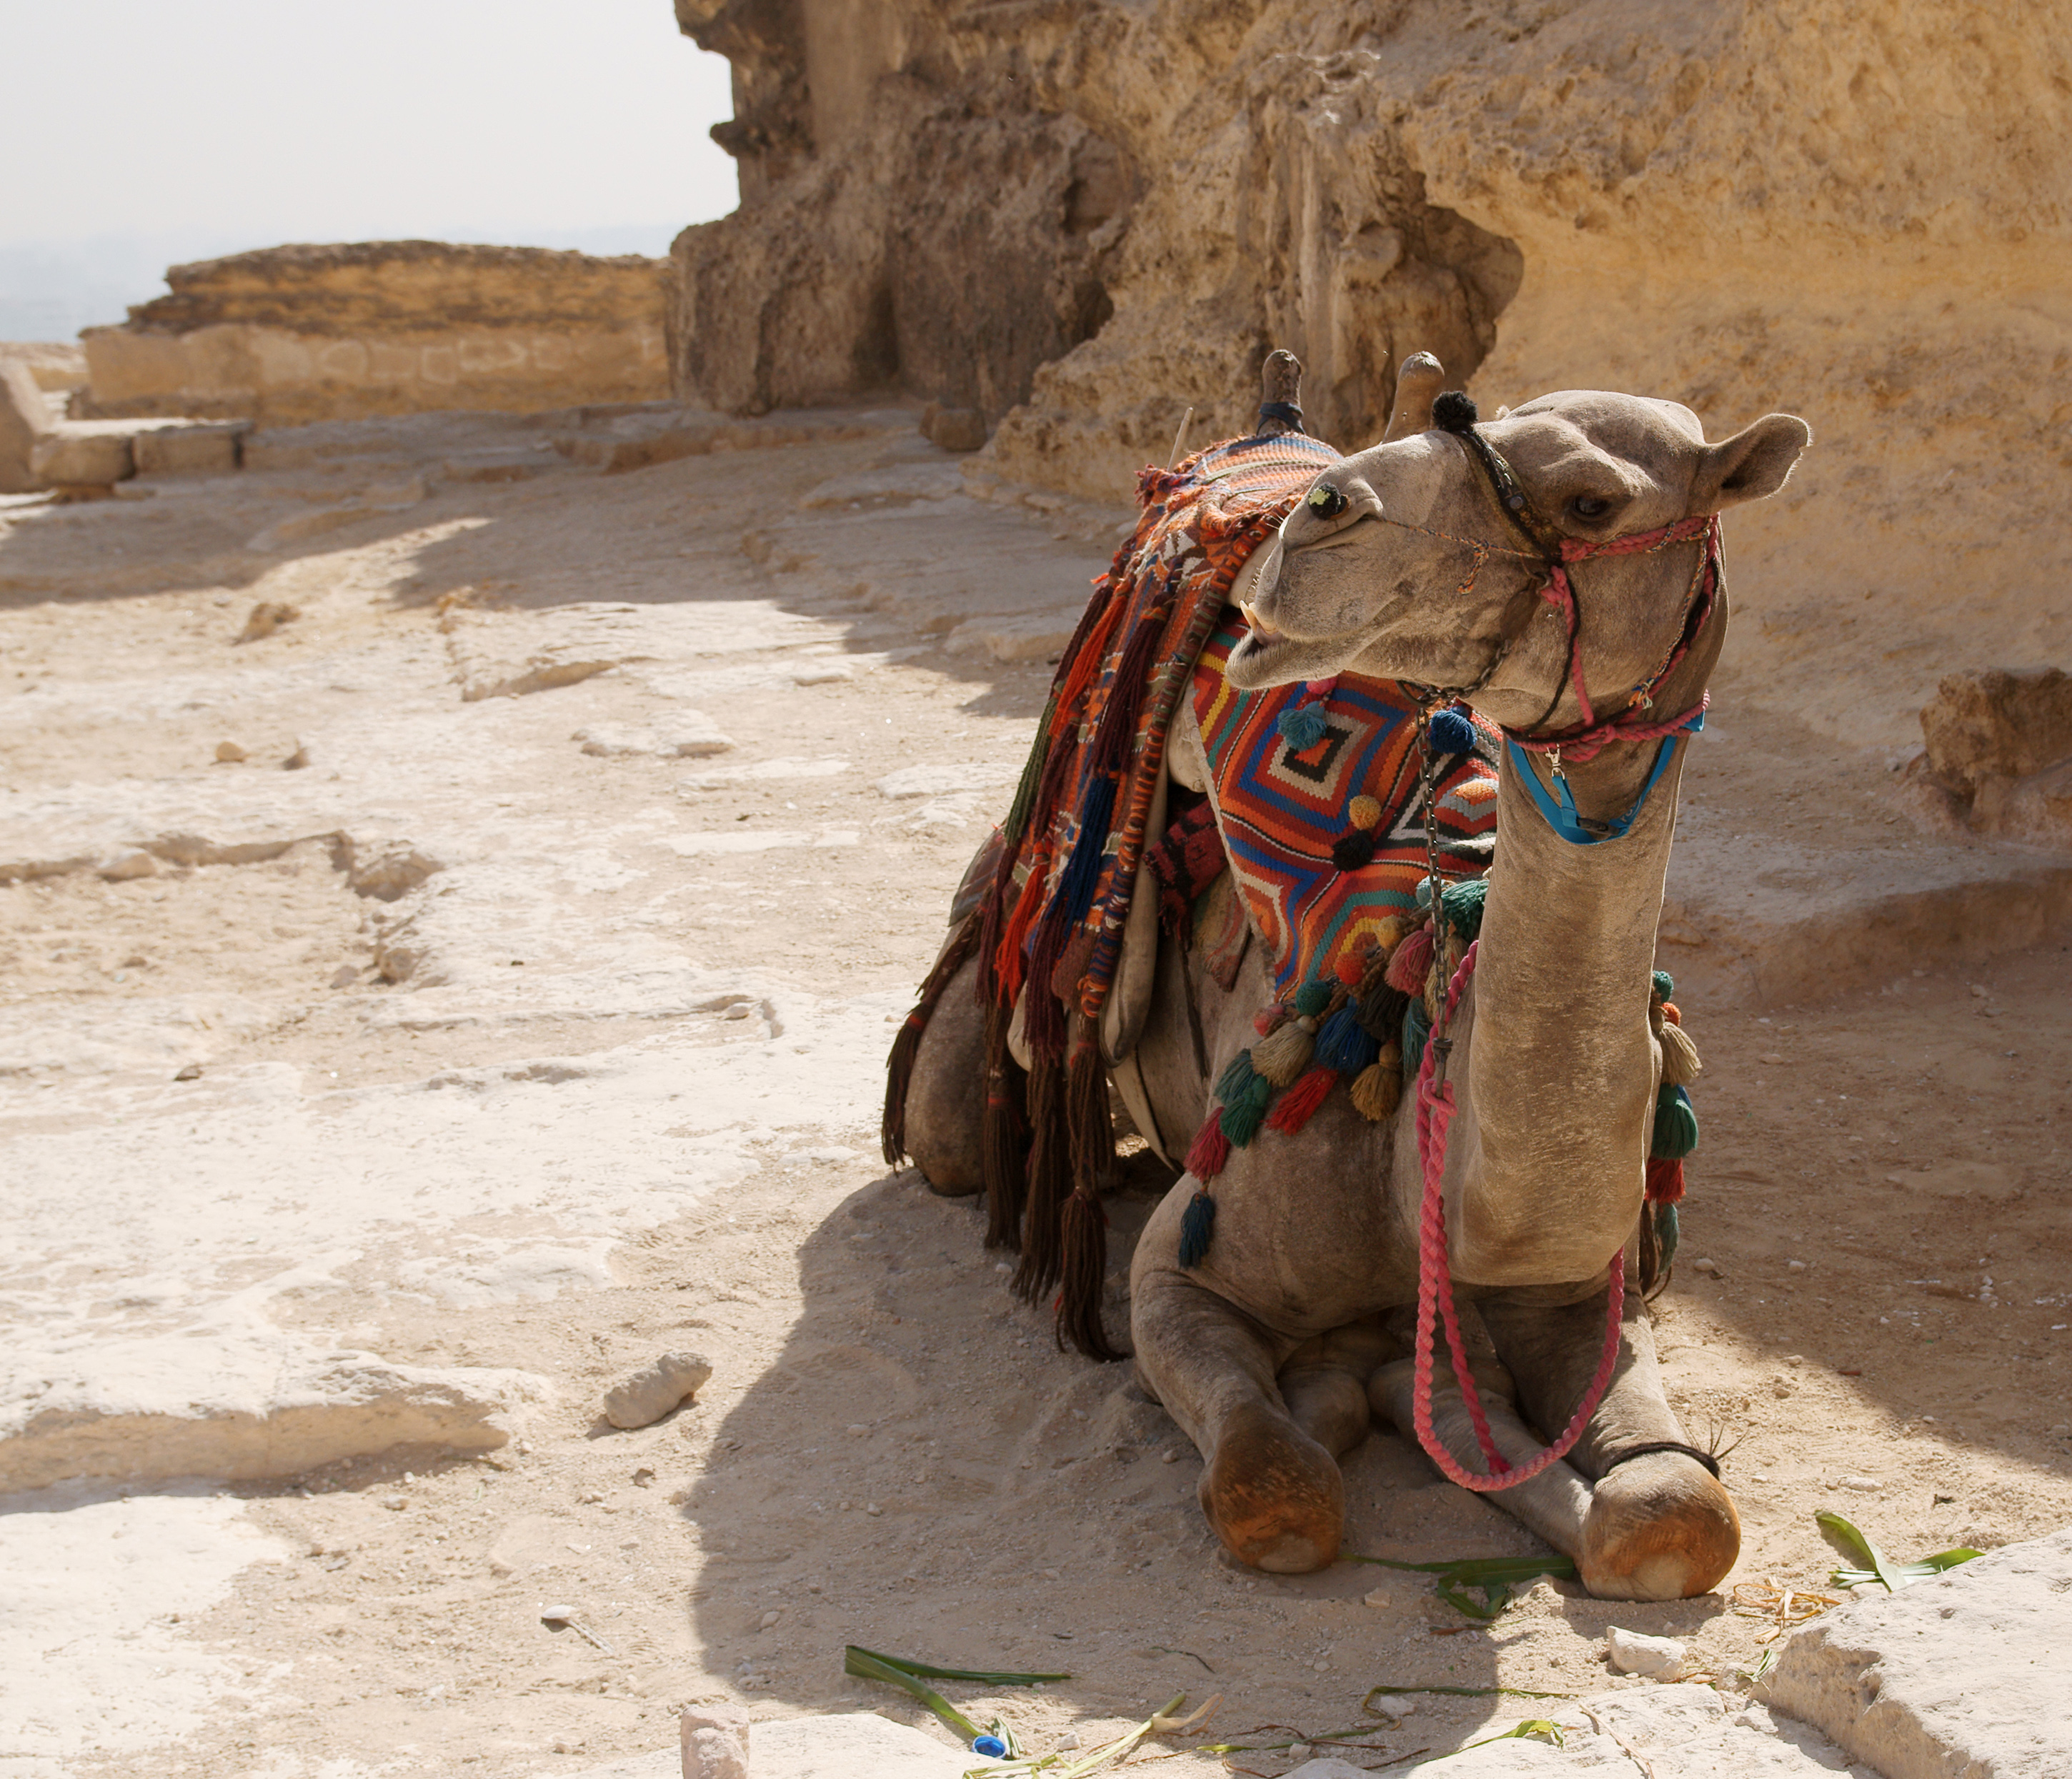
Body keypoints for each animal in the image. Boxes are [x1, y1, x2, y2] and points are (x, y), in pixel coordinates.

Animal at [893, 351, 1809, 1601]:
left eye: (1593, 500)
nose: (1322, 515)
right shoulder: (1179, 1276)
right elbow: (1279, 1487)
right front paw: (1330, 1400)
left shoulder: (1582, 1295)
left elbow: (1671, 1509)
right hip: (992, 978)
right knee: (949, 1127)